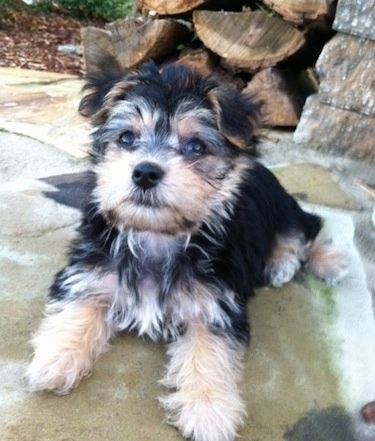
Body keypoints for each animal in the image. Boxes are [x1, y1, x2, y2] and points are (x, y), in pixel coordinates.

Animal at [27, 62, 346, 440]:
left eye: (195, 146)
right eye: (127, 139)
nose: (145, 172)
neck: (158, 234)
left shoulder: (215, 304)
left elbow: (208, 351)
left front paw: (208, 411)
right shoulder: (90, 271)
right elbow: (78, 307)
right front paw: (55, 358)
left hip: (281, 205)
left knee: (305, 228)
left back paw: (311, 262)